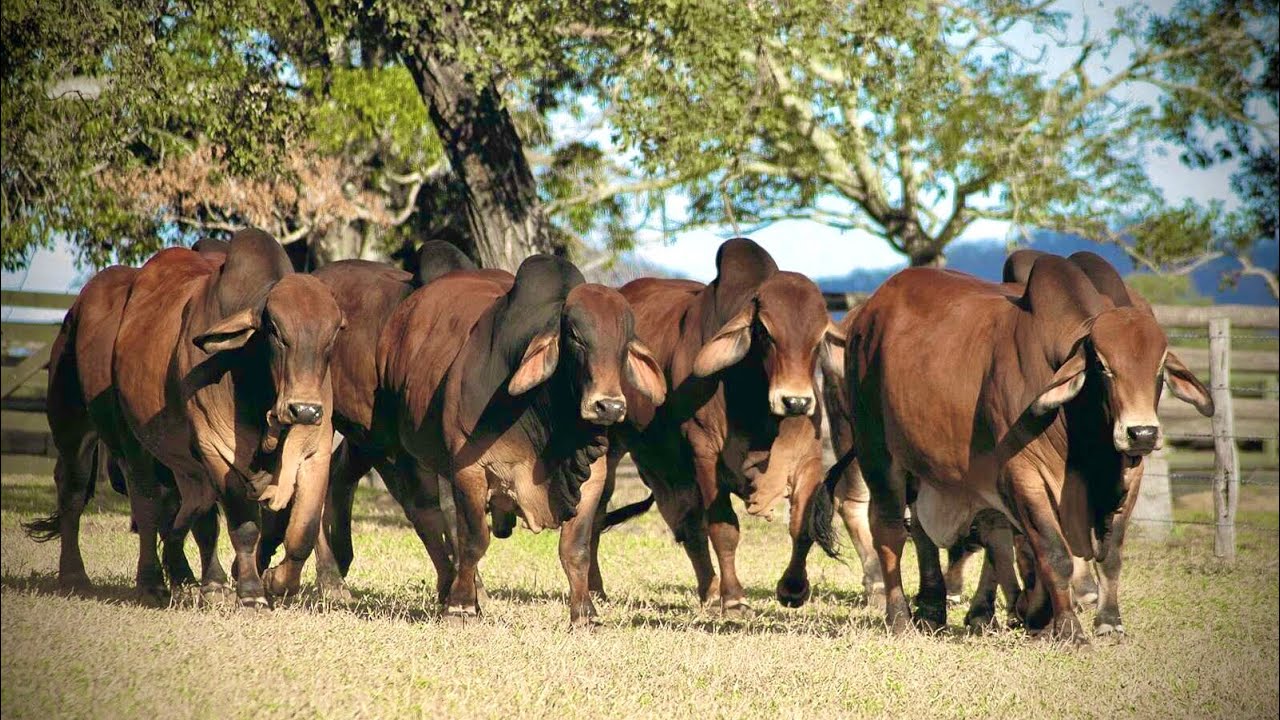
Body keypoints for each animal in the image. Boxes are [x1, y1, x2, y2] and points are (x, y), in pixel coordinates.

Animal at [110, 229, 345, 609]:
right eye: (275, 331)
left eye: (334, 333)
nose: (305, 410)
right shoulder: (216, 449)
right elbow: (244, 528)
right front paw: (251, 592)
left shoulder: (315, 453)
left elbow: (304, 530)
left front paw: (277, 581)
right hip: (136, 444)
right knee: (152, 510)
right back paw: (160, 583)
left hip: (188, 467)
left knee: (189, 512)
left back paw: (194, 578)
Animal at [362, 254, 665, 625]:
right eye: (577, 338)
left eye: (625, 345)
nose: (609, 406)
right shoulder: (470, 470)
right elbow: (474, 540)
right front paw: (460, 607)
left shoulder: (594, 476)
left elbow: (575, 548)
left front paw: (585, 614)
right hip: (400, 450)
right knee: (433, 518)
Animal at [596, 238, 843, 616]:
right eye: (764, 332)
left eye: (818, 340)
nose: (795, 402)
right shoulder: (705, 453)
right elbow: (724, 527)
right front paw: (736, 598)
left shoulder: (807, 458)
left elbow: (802, 524)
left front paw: (793, 588)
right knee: (594, 514)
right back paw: (596, 590)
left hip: (663, 467)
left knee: (687, 526)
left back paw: (709, 592)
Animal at [817, 255, 1212, 642]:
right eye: (1102, 365)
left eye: (1160, 368)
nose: (1141, 433)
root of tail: (865, 315)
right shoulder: (1025, 474)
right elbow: (1054, 553)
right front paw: (1068, 628)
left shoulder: (1130, 477)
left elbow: (1109, 554)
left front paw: (1106, 622)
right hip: (877, 452)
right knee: (889, 531)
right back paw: (901, 618)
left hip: (927, 467)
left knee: (932, 533)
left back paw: (936, 610)